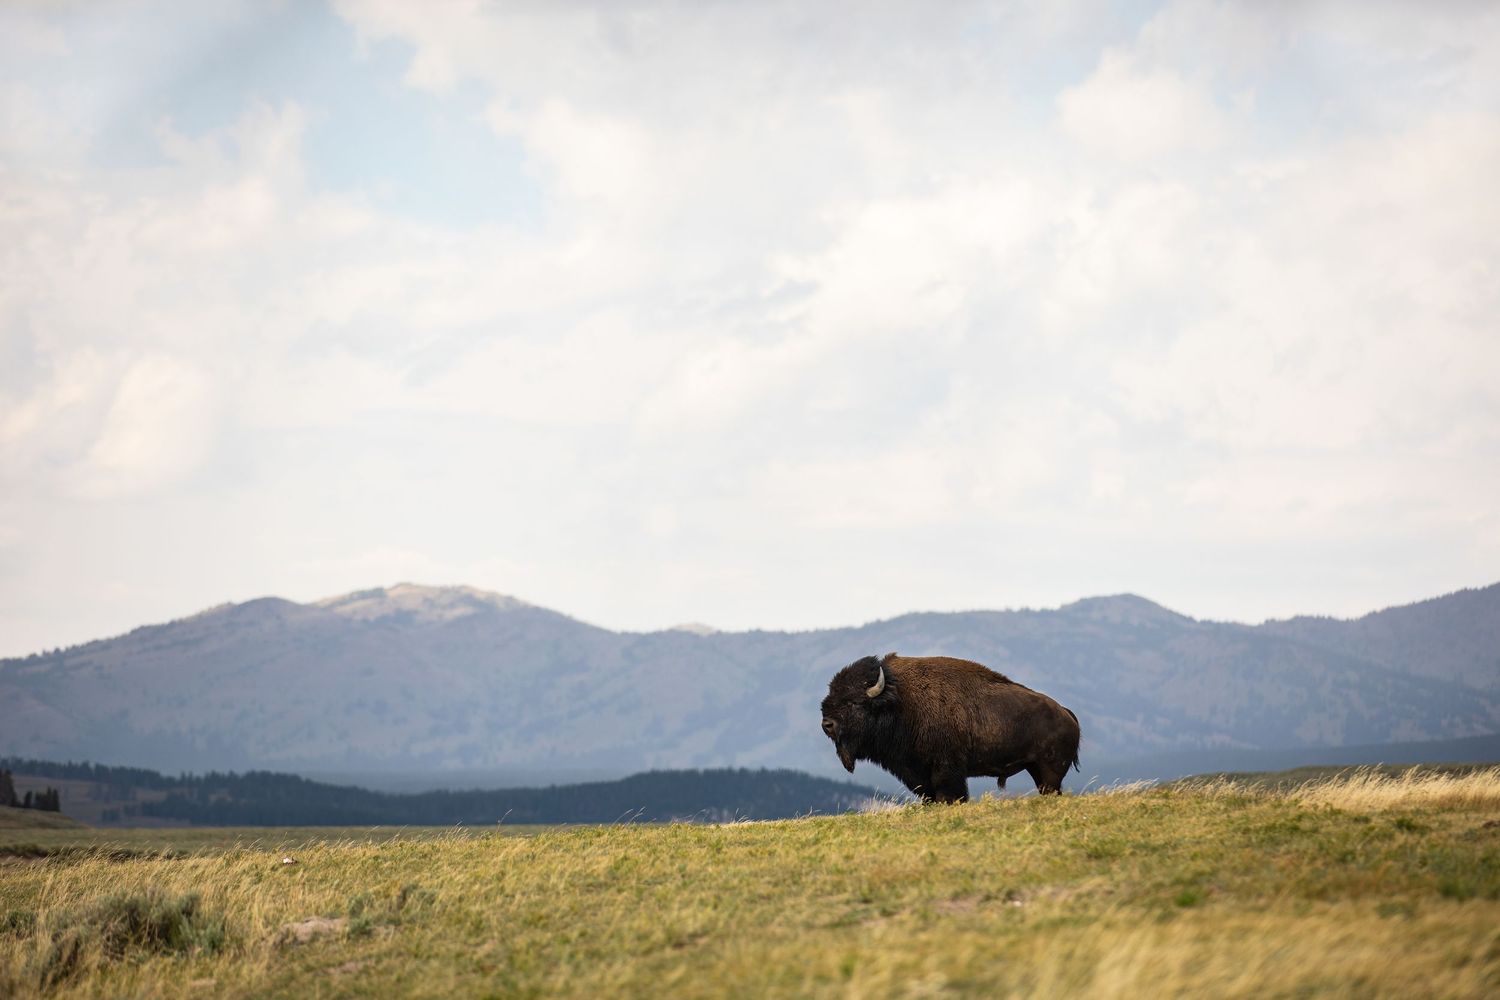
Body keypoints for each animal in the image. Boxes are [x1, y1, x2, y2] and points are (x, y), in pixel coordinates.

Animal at [820, 653, 1081, 802]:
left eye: (853, 702)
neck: (900, 702)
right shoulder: (917, 773)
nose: (827, 724)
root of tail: (1066, 713)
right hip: (1036, 769)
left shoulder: (946, 769)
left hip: (1050, 770)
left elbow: (949, 793)